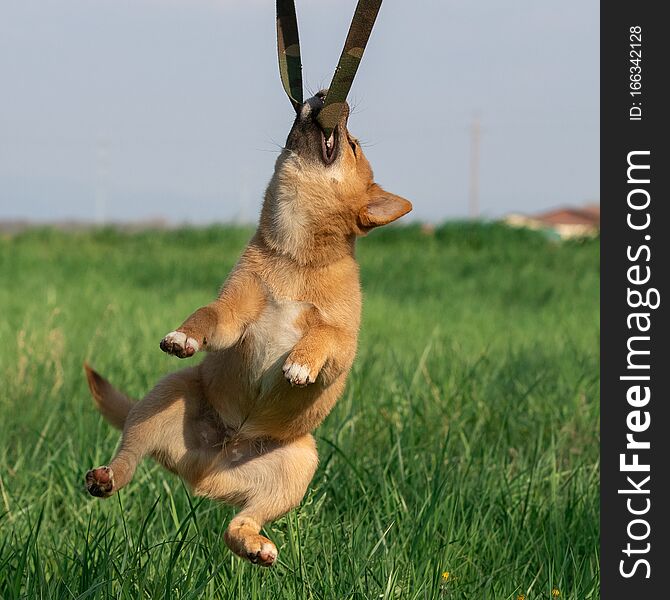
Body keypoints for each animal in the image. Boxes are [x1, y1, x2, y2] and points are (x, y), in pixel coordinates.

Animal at [86, 91, 412, 564]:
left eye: (352, 145)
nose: (322, 95)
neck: (294, 257)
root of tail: (213, 460)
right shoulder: (233, 315)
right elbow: (208, 314)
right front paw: (185, 335)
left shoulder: (341, 348)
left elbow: (324, 334)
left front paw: (300, 362)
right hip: (164, 397)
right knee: (129, 456)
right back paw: (106, 477)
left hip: (298, 464)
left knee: (237, 524)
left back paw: (254, 545)